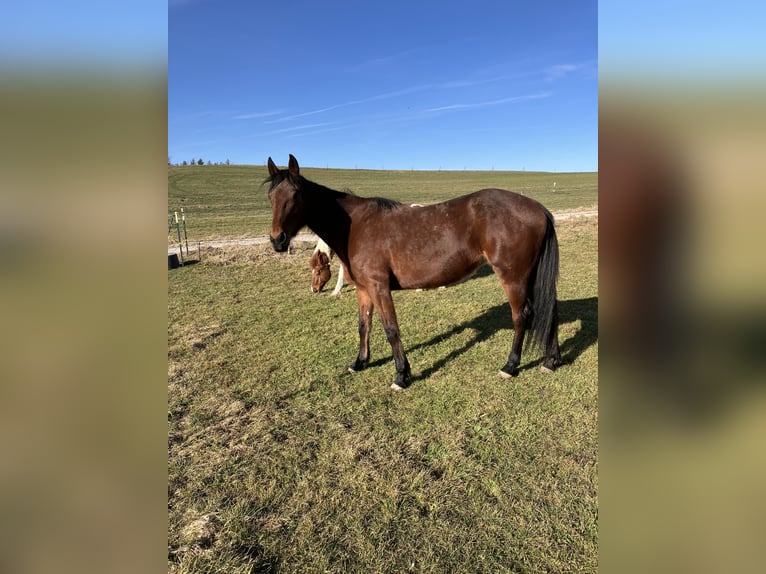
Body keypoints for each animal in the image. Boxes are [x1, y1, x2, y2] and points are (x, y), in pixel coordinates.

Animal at [268, 155, 560, 392]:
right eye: (271, 196)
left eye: (295, 196)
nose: (277, 240)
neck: (354, 226)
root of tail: (538, 208)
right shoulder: (364, 290)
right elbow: (364, 326)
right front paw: (360, 362)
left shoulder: (379, 288)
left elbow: (391, 330)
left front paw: (401, 375)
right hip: (529, 277)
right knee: (549, 311)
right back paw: (550, 361)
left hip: (513, 277)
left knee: (521, 316)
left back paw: (510, 366)